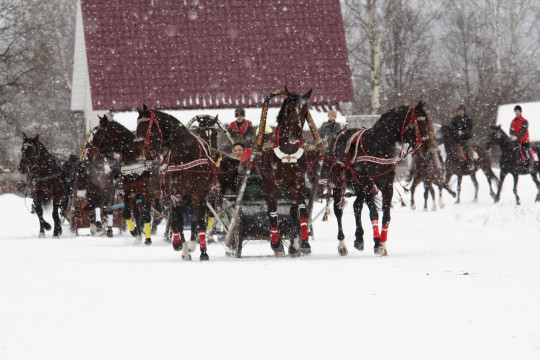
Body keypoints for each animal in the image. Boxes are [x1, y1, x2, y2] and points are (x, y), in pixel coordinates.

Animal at [92, 115, 160, 245]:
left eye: (100, 135)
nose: (93, 154)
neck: (135, 162)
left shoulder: (147, 193)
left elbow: (146, 216)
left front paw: (147, 239)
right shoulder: (128, 192)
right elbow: (127, 213)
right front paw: (135, 232)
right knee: (138, 213)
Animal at [136, 105, 214, 260]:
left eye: (146, 126)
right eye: (137, 125)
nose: (138, 147)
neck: (185, 155)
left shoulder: (199, 193)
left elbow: (199, 221)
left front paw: (202, 251)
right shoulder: (174, 195)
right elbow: (177, 221)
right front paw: (181, 247)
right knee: (174, 218)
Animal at [330, 101, 430, 256]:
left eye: (425, 120)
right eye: (416, 123)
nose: (426, 145)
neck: (378, 144)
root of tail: (341, 133)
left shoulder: (386, 185)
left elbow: (386, 216)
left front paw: (382, 243)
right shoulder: (368, 184)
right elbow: (374, 213)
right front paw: (377, 243)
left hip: (358, 185)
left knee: (357, 206)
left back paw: (359, 239)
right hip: (340, 182)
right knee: (338, 209)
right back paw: (342, 244)